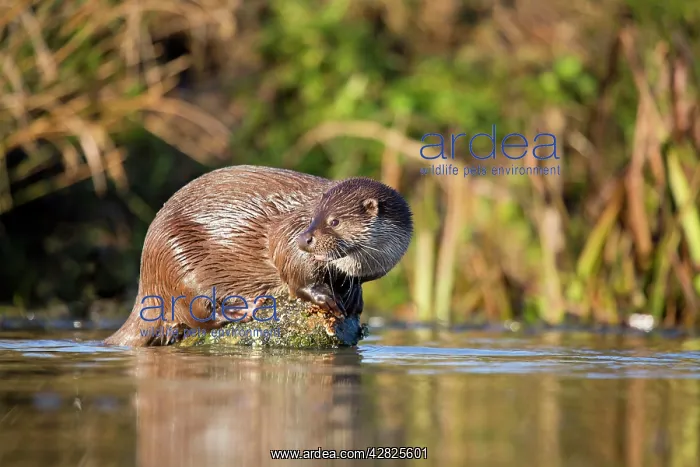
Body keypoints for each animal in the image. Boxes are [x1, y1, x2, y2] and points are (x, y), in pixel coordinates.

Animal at [103, 165, 413, 347]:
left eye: (334, 221)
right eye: (312, 217)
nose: (305, 238)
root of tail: (147, 269)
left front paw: (354, 299)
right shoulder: (288, 231)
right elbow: (290, 265)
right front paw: (325, 298)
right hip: (177, 256)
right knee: (195, 313)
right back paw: (242, 308)